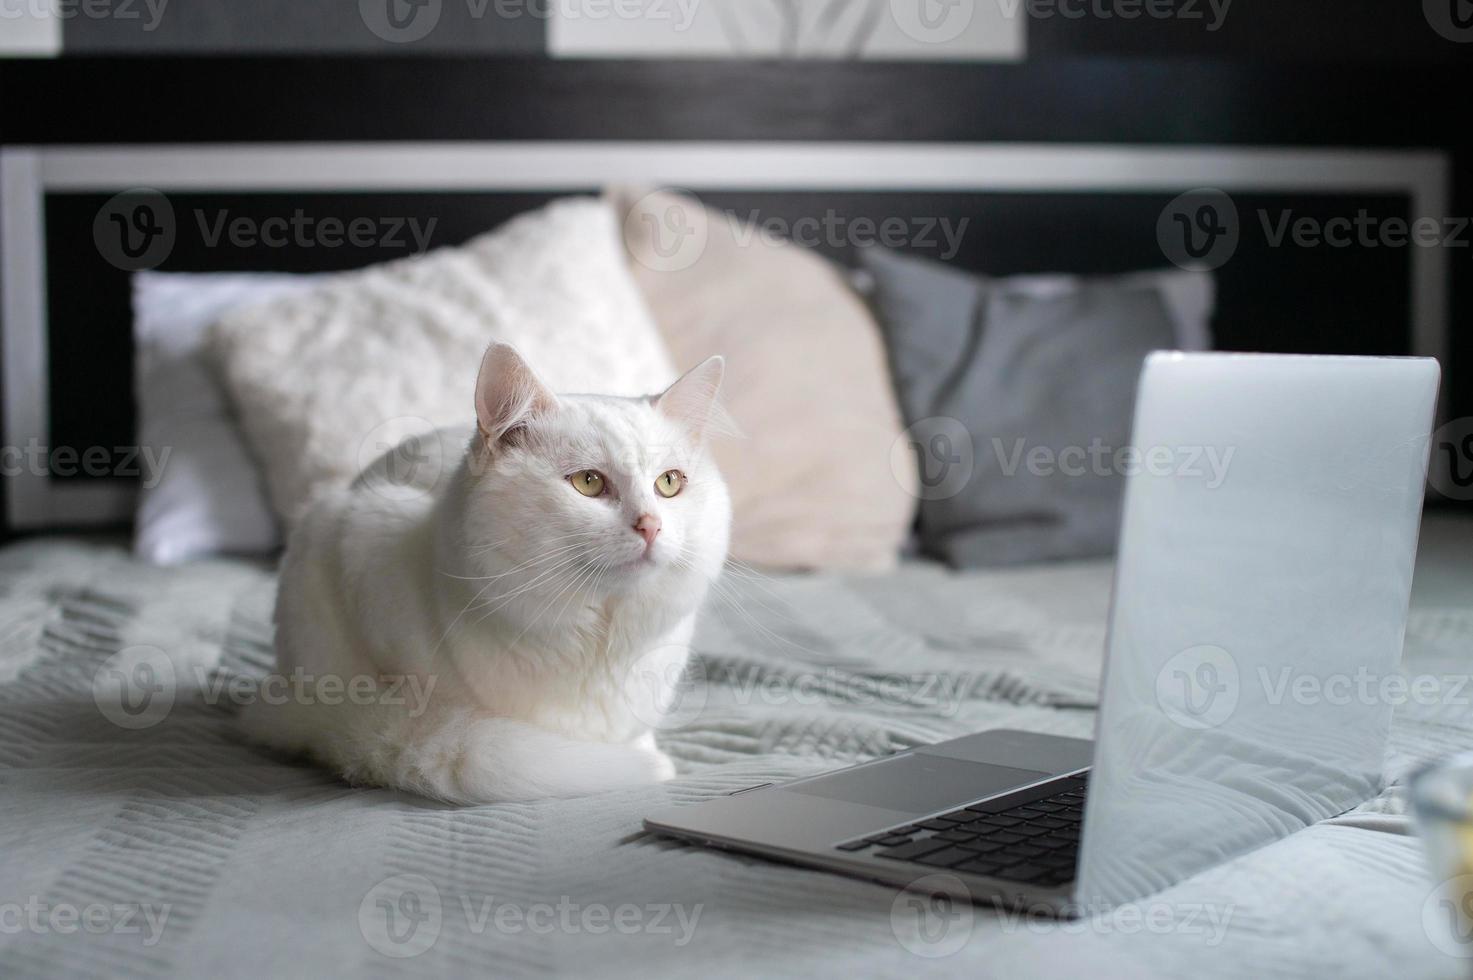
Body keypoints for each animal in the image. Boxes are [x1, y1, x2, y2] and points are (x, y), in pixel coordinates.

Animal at [241, 340, 736, 801]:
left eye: (669, 483)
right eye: (588, 483)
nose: (650, 525)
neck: (595, 647)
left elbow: (636, 739)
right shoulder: (367, 540)